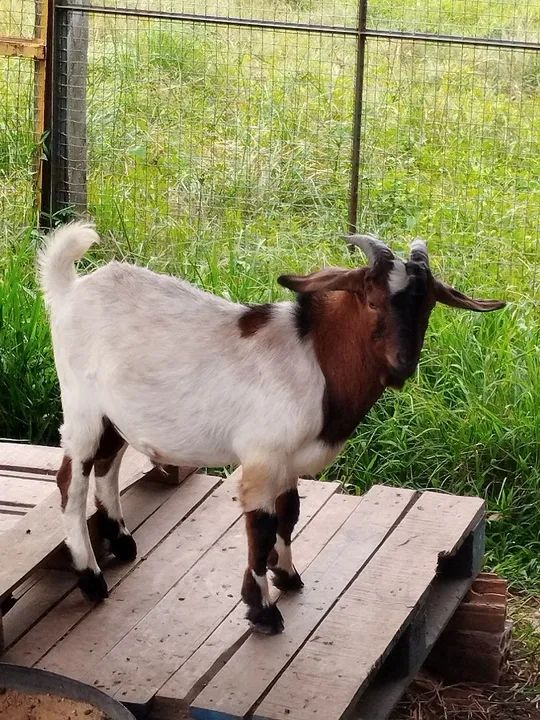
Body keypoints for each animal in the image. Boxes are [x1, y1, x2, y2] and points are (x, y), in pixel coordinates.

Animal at [39, 223, 505, 634]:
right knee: (71, 481)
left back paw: (121, 542)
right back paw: (91, 578)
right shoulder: (262, 457)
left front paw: (288, 575)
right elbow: (261, 529)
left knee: (107, 464)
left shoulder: (289, 460)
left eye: (428, 306)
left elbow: (290, 512)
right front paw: (262, 609)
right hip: (81, 406)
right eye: (371, 300)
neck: (315, 355)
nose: (402, 364)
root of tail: (71, 290)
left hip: (118, 415)